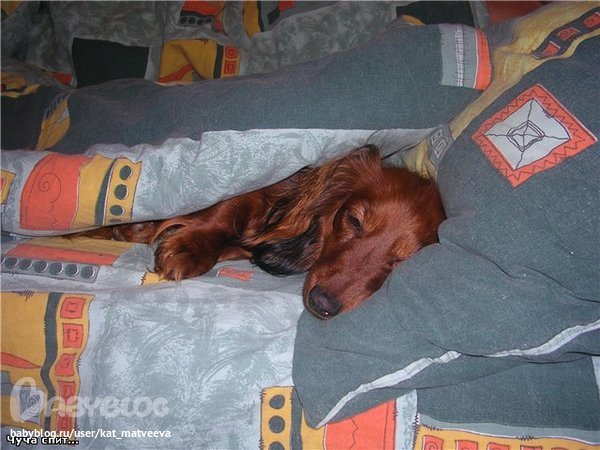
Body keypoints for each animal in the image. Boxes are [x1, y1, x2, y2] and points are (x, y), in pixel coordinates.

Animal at [84, 146, 445, 319]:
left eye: (400, 262)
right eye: (354, 221)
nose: (322, 304)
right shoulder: (261, 188)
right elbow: (229, 210)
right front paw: (191, 247)